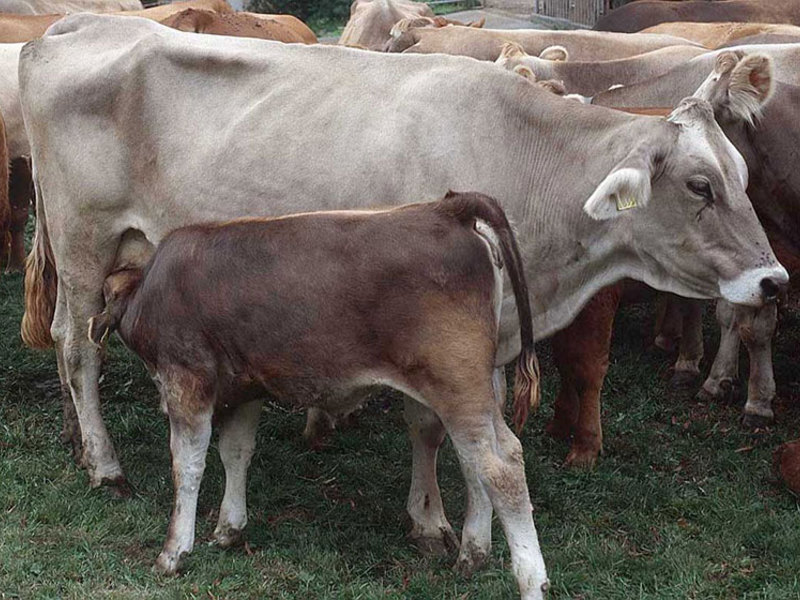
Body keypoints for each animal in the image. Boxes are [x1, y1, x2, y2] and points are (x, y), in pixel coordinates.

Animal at [85, 192, 548, 596]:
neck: (153, 288)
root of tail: (447, 207)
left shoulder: (187, 380)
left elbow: (187, 464)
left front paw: (174, 551)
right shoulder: (245, 387)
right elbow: (236, 452)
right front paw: (229, 529)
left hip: (457, 383)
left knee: (501, 465)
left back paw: (531, 580)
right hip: (473, 389)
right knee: (476, 461)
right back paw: (473, 554)